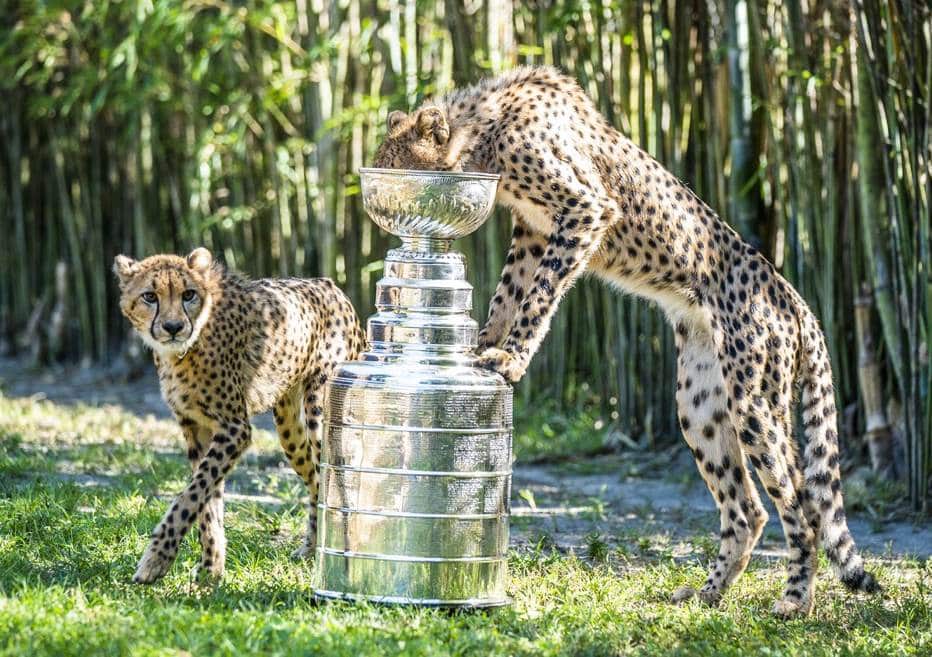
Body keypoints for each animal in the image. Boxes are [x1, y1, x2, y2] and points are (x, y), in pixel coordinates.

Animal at [113, 249, 364, 580]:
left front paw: (156, 559)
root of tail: (330, 285)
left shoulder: (235, 428)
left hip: (320, 414)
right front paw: (211, 569)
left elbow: (189, 496)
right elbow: (205, 500)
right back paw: (311, 550)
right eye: (150, 296)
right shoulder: (197, 428)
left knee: (338, 480)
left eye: (188, 294)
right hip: (289, 429)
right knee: (315, 478)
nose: (173, 327)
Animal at [374, 66, 880, 616]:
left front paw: (509, 356)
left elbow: (540, 294)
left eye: (393, 169)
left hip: (753, 401)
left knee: (802, 505)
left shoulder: (585, 208)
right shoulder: (533, 228)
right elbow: (509, 292)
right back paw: (707, 594)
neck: (483, 130)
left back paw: (795, 601)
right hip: (700, 405)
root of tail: (795, 299)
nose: (379, 197)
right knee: (749, 509)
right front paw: (480, 345)